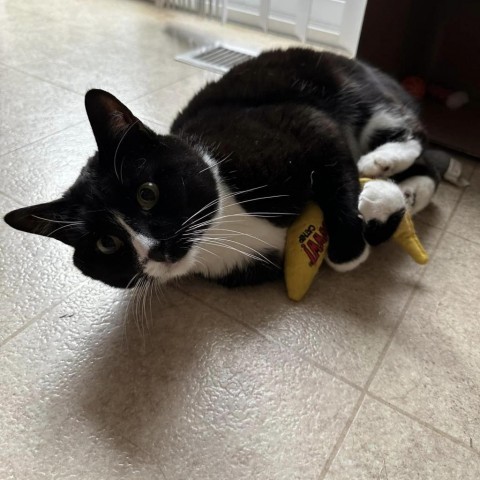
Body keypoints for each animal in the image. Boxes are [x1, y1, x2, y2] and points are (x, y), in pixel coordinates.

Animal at [4, 48, 438, 288]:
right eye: (106, 244)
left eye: (147, 194)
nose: (155, 249)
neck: (220, 229)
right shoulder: (256, 265)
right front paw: (384, 201)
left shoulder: (299, 126)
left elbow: (333, 164)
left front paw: (349, 247)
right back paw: (403, 188)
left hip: (350, 88)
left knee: (415, 138)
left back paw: (384, 160)